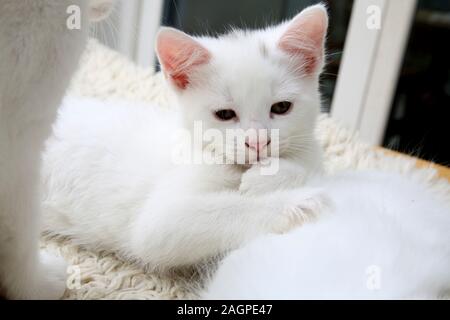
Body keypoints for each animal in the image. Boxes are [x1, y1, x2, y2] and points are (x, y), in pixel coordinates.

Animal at [42, 4, 328, 270]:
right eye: (224, 114)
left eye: (281, 107)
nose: (257, 142)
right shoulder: (159, 222)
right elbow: (223, 210)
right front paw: (298, 203)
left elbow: (311, 165)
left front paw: (271, 176)